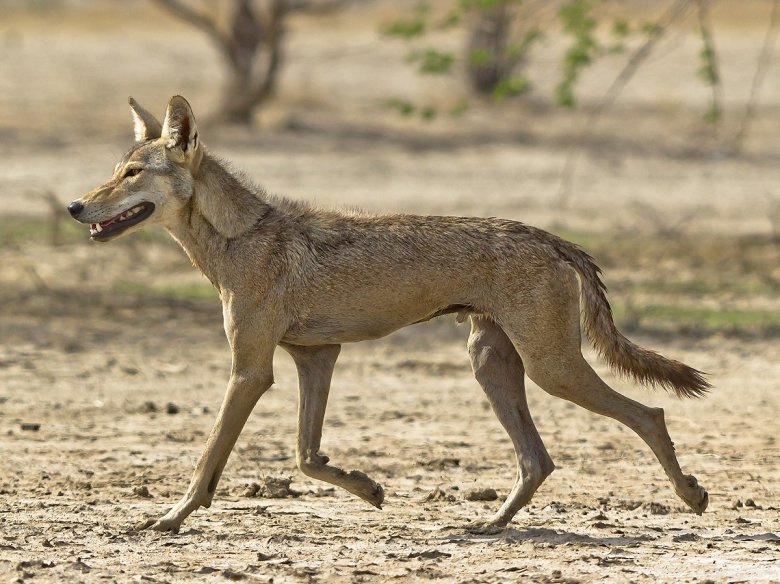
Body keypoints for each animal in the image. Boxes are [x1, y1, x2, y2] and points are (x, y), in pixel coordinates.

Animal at [68, 97, 712, 532]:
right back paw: (490, 525)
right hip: (491, 364)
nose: (74, 205)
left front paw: (170, 518)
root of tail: (551, 237)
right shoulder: (316, 358)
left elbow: (208, 460)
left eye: (131, 174)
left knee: (648, 413)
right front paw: (369, 488)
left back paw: (691, 496)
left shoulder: (250, 372)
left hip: (551, 369)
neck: (238, 237)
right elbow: (306, 457)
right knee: (538, 459)